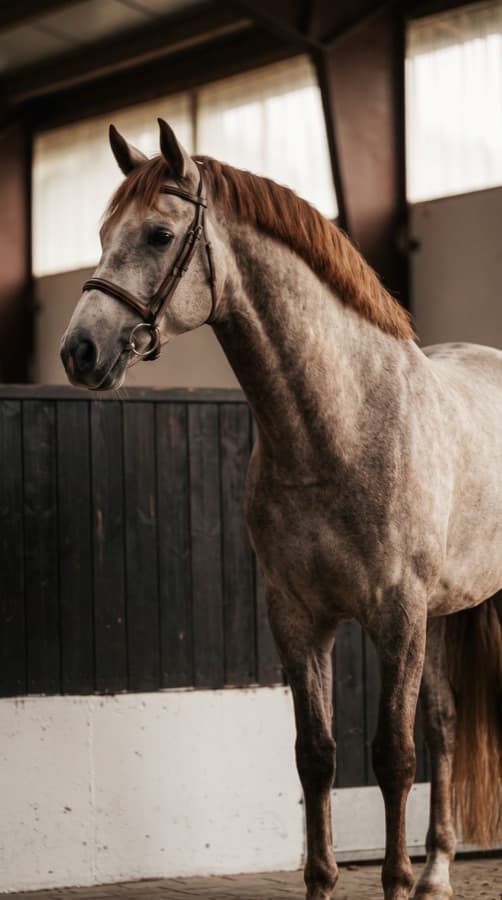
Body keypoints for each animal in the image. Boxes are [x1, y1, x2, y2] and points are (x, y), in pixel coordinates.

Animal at [60, 118, 502, 900]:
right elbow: (316, 754)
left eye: (158, 235)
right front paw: (329, 881)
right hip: (446, 613)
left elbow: (392, 755)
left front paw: (392, 882)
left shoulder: (397, 615)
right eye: (105, 231)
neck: (344, 423)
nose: (79, 351)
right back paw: (438, 872)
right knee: (447, 723)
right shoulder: (298, 616)